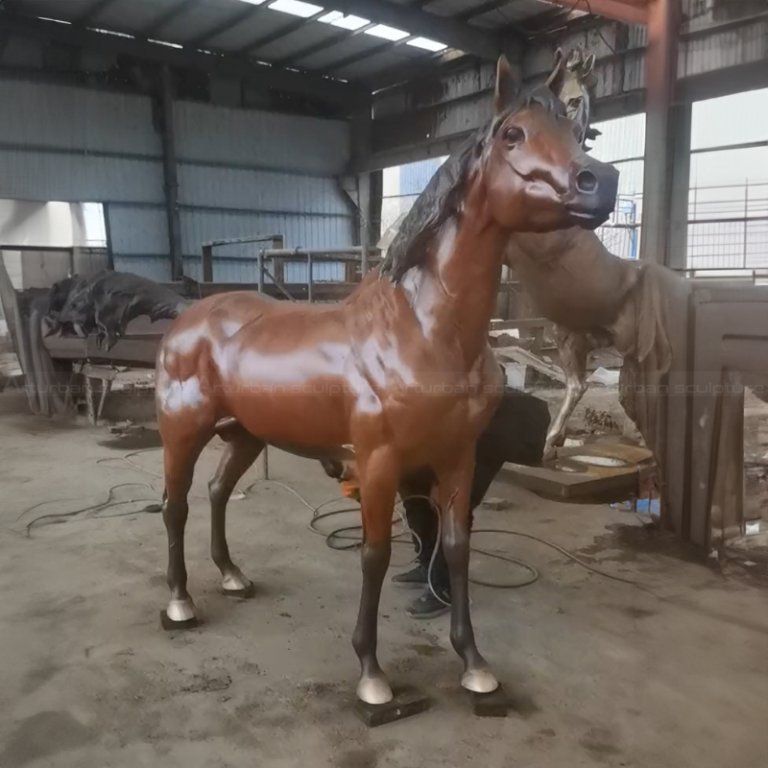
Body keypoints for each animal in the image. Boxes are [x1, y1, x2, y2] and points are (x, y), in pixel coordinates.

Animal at [154, 55, 618, 707]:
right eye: (513, 134)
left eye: (578, 132)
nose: (601, 181)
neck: (423, 332)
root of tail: (186, 318)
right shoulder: (377, 463)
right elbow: (374, 555)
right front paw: (372, 675)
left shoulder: (457, 459)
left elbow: (455, 548)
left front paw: (474, 664)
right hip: (182, 430)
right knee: (176, 507)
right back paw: (180, 603)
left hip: (244, 433)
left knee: (219, 492)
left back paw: (232, 576)